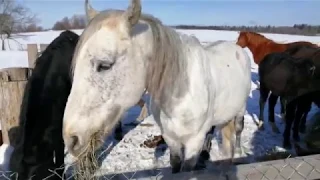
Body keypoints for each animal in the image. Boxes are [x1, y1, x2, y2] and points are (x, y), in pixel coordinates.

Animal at [63, 0, 252, 173]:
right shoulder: (171, 139)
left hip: (241, 109)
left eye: (104, 65)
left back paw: (239, 152)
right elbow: (175, 165)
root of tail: (236, 48)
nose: (71, 139)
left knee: (238, 130)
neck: (180, 94)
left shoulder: (194, 142)